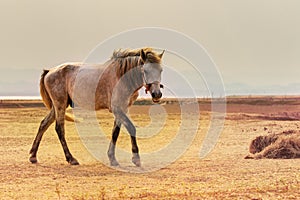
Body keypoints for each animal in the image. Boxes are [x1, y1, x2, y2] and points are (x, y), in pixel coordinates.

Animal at [29, 47, 164, 166]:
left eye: (161, 70)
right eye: (145, 70)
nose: (157, 94)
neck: (121, 76)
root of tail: (49, 71)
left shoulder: (122, 109)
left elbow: (115, 132)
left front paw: (112, 158)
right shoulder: (117, 109)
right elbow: (131, 128)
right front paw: (136, 159)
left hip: (57, 106)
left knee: (44, 124)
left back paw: (33, 156)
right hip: (60, 104)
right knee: (59, 129)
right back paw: (71, 158)